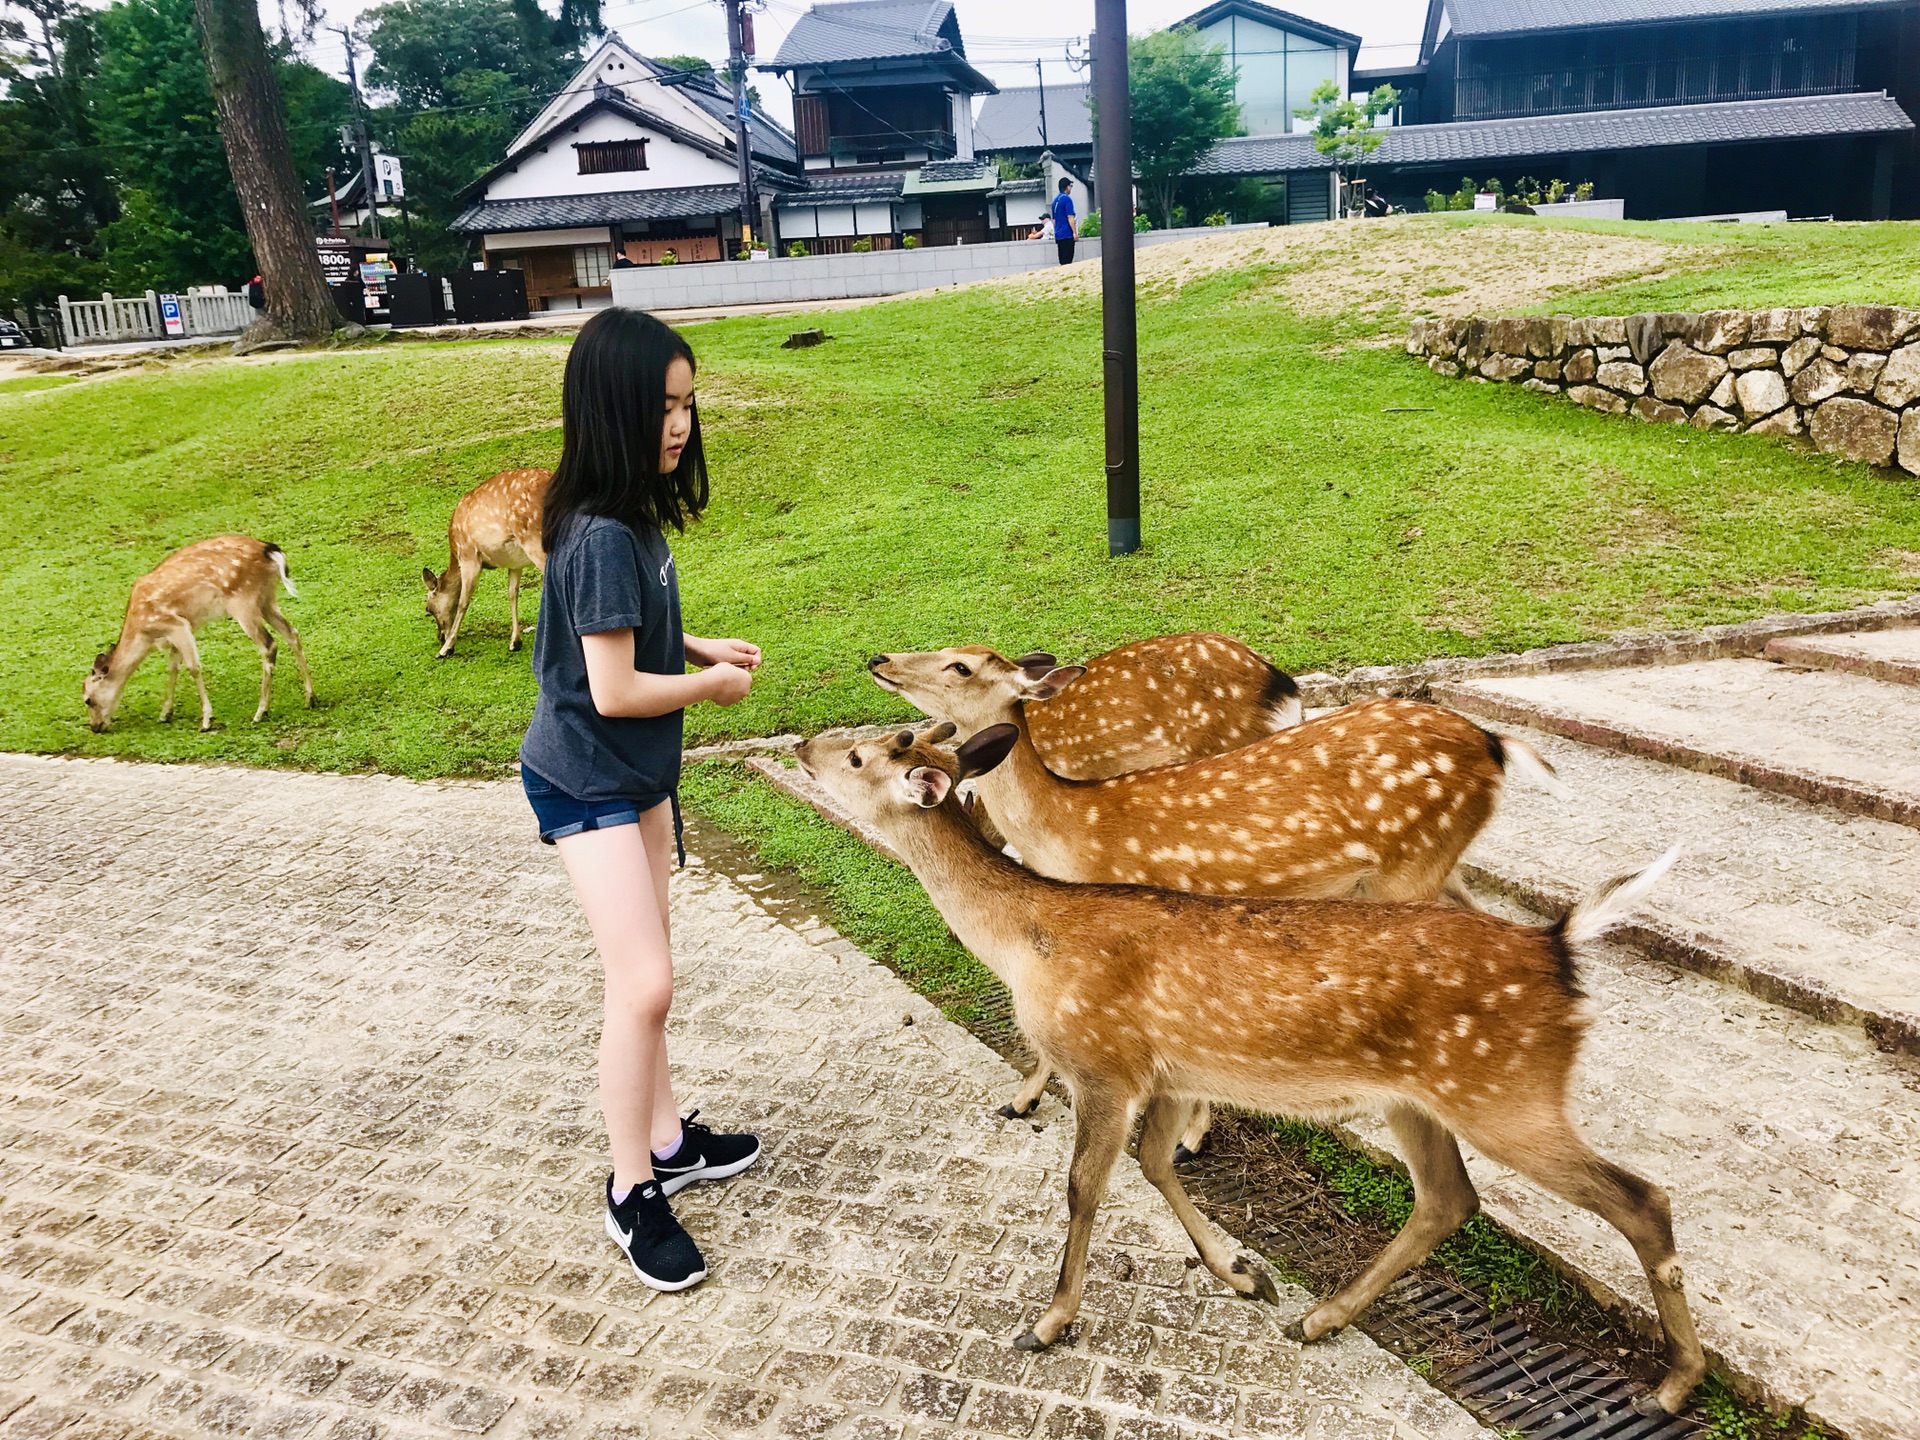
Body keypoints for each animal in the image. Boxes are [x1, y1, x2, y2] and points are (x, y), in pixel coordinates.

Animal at [84, 537, 312, 733]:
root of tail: (271, 551)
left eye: (88, 699)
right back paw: (310, 698)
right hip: (266, 598)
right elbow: (173, 667)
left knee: (268, 645)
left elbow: (193, 667)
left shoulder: (178, 625)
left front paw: (206, 720)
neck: (144, 632)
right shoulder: (175, 634)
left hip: (242, 601)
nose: (95, 727)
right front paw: (165, 713)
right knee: (292, 633)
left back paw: (260, 712)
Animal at [424, 470, 552, 656]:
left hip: (534, 540)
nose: (440, 636)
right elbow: (512, 593)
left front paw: (446, 648)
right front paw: (515, 642)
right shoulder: (515, 563)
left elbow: (463, 601)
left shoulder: (469, 555)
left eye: (428, 609)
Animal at [794, 725, 1712, 1428]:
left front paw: (1048, 1323)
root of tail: (1559, 947)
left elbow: (1085, 1185)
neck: (1029, 943)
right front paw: (1243, 1273)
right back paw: (1320, 1317)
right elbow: (1156, 1164)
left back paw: (1671, 1387)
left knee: (1642, 1197)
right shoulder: (1168, 1073)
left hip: (1507, 1090)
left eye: (859, 755)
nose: (801, 745)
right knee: (1450, 1198)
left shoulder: (1104, 1062)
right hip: (1426, 1096)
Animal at [871, 648, 1559, 1144]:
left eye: (960, 664)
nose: (879, 659)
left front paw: (1190, 1138)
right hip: (1436, 863)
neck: (1068, 827)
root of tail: (1497, 746)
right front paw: (1020, 1100)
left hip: (1410, 868)